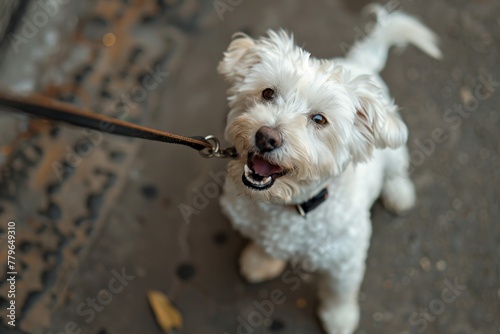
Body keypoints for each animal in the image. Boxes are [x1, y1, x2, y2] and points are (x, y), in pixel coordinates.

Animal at [219, 5, 442, 334]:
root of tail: (359, 63)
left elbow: (341, 292)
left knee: (397, 170)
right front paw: (260, 261)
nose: (266, 137)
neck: (288, 205)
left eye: (319, 120)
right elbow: (266, 246)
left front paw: (339, 317)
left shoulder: (345, 261)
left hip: (394, 150)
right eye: (268, 93)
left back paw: (399, 192)